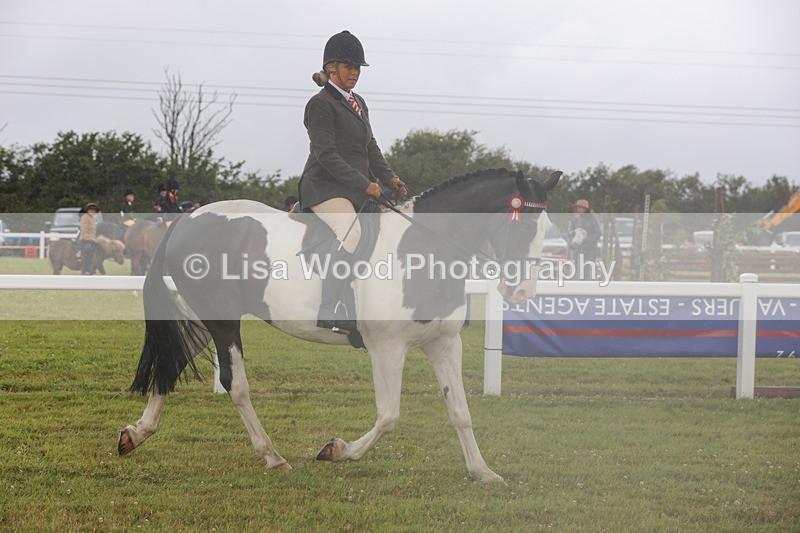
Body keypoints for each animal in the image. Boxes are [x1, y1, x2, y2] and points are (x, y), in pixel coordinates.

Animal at [118, 168, 561, 482]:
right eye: (524, 225)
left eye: (546, 229)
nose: (521, 291)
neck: (423, 249)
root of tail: (187, 220)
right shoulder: (386, 347)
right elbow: (389, 416)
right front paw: (337, 450)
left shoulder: (444, 343)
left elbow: (460, 411)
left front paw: (481, 471)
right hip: (223, 320)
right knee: (235, 385)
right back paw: (273, 457)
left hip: (206, 318)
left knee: (174, 358)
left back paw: (135, 434)